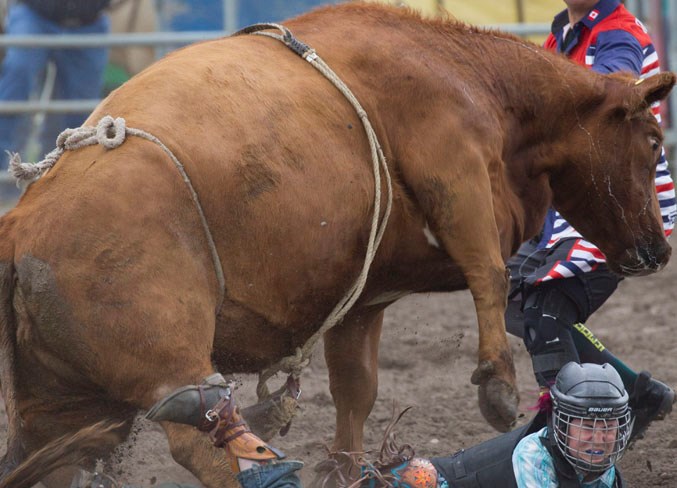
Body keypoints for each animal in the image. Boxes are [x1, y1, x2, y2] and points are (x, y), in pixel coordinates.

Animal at [0, 3, 672, 488]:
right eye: (652, 141)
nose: (657, 251)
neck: (478, 80)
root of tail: (21, 225)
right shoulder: (453, 165)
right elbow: (488, 269)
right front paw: (498, 387)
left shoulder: (363, 299)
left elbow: (355, 393)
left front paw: (348, 468)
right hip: (167, 359)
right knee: (203, 435)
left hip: (57, 403)